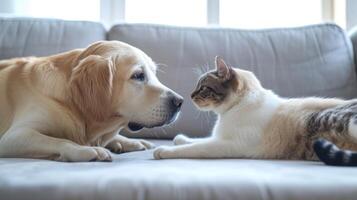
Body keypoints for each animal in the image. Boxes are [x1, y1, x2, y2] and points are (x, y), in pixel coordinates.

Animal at [0, 40, 182, 161]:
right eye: (138, 75)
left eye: (154, 74)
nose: (180, 102)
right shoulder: (15, 136)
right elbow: (60, 140)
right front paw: (88, 150)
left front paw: (127, 142)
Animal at [154, 55, 357, 166]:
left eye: (203, 88)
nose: (189, 96)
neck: (231, 111)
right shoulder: (220, 137)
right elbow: (196, 140)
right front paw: (180, 139)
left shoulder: (227, 144)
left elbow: (194, 147)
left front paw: (163, 150)